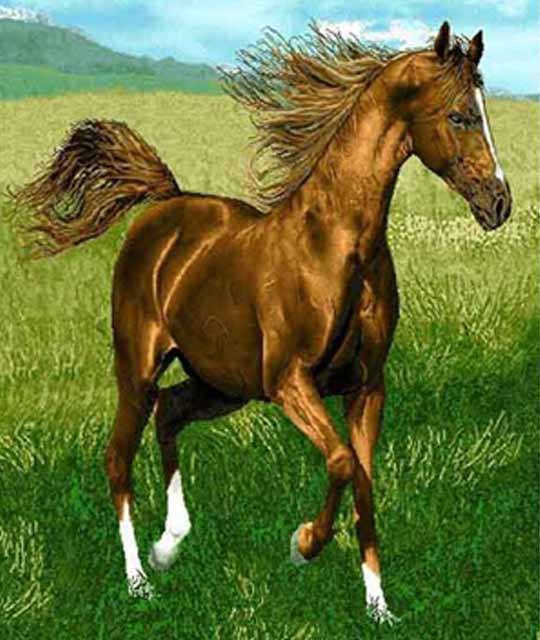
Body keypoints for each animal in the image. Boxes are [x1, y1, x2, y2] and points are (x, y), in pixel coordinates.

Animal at [9, 21, 511, 623]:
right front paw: (303, 545)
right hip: (140, 369)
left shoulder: (367, 388)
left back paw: (168, 545)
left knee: (169, 414)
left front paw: (379, 607)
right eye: (460, 116)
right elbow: (342, 463)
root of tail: (163, 206)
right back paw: (137, 581)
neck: (336, 246)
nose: (499, 204)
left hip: (222, 383)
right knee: (118, 457)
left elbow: (365, 483)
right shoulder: (289, 381)